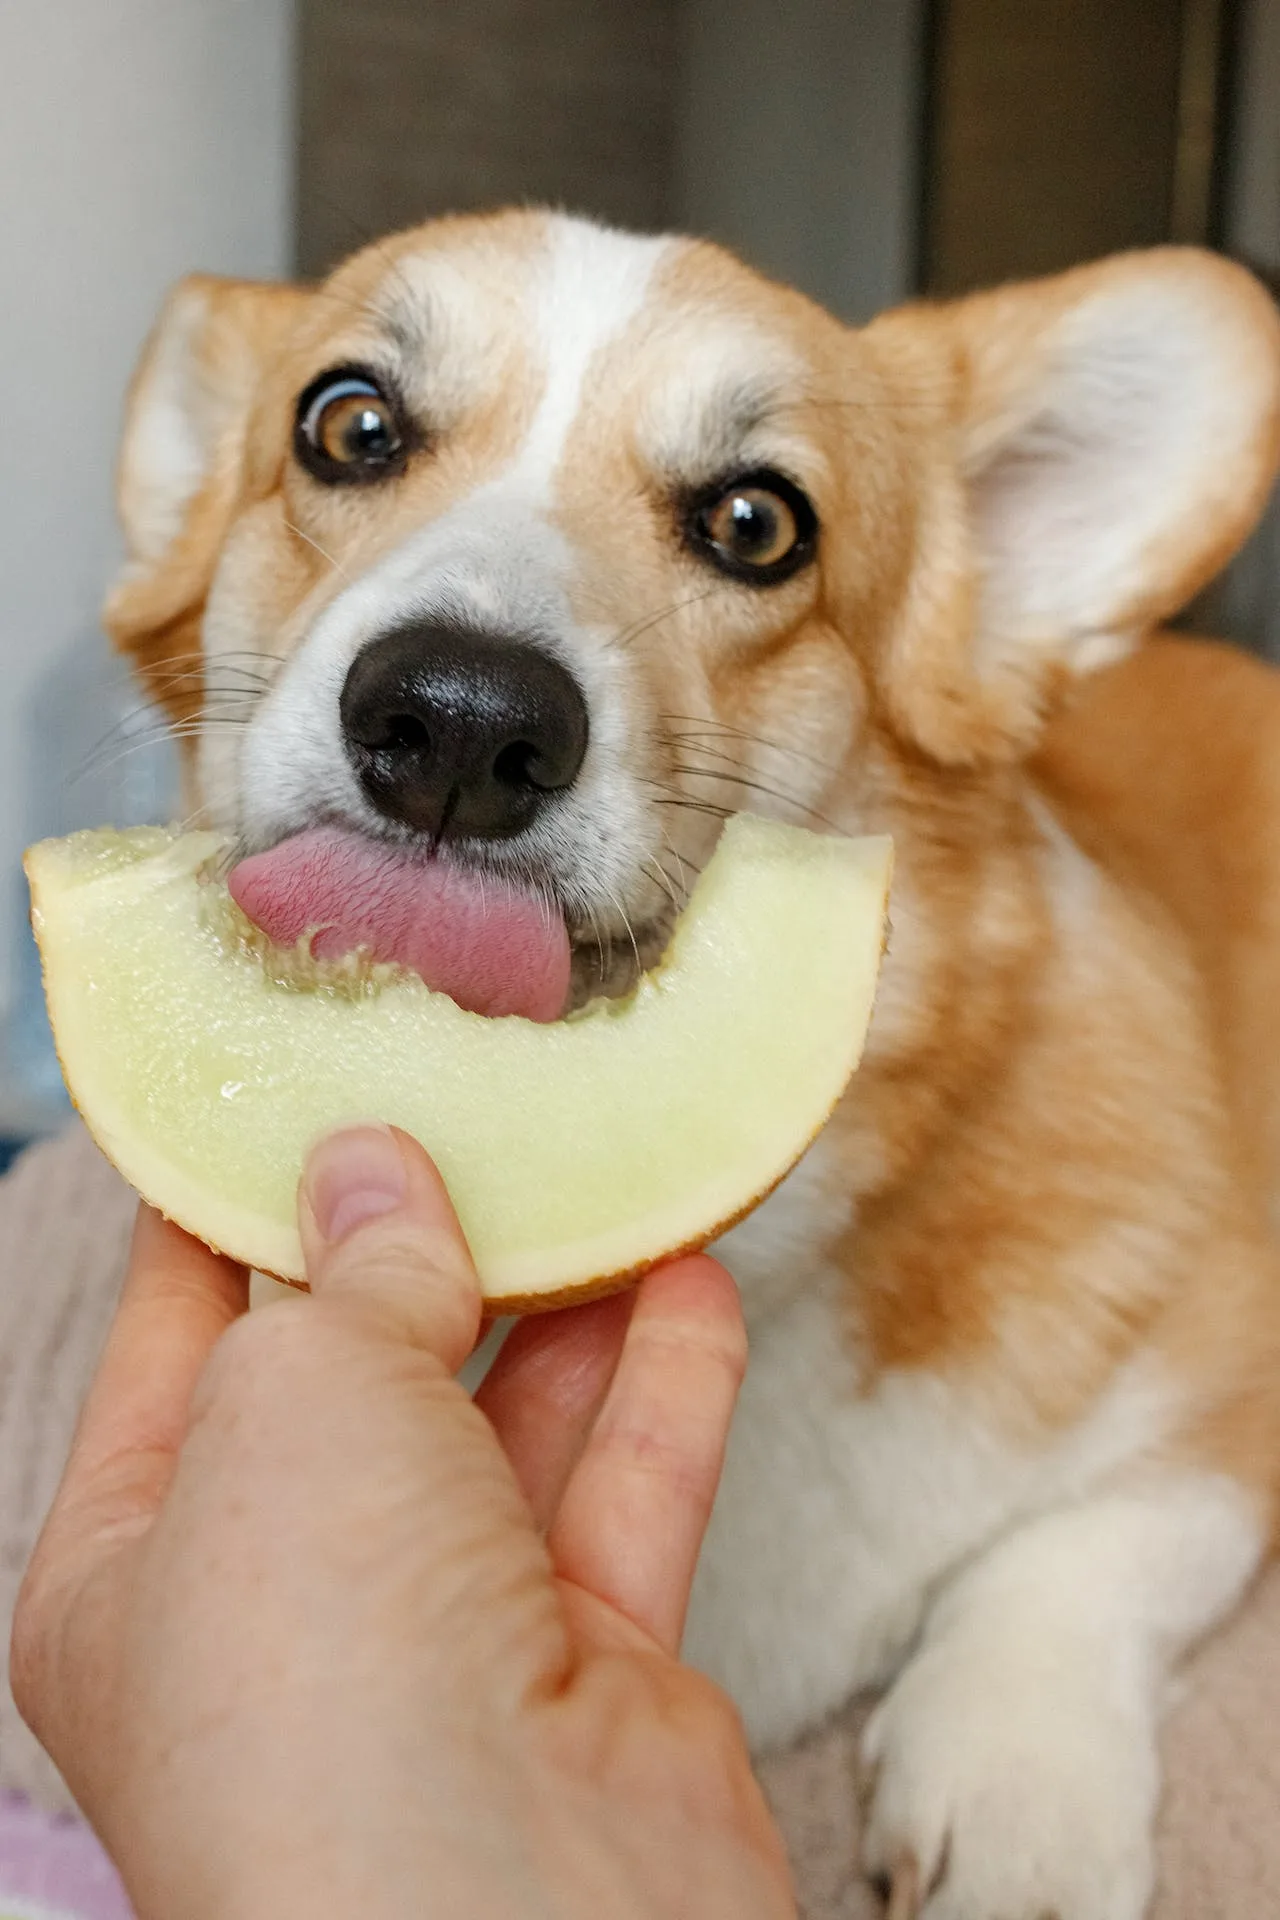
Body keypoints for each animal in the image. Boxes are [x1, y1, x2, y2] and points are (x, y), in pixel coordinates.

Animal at [105, 210, 1280, 1920]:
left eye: (755, 524)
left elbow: (1081, 1553)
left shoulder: (1224, 1376)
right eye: (350, 426)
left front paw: (1019, 1794)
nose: (456, 721)